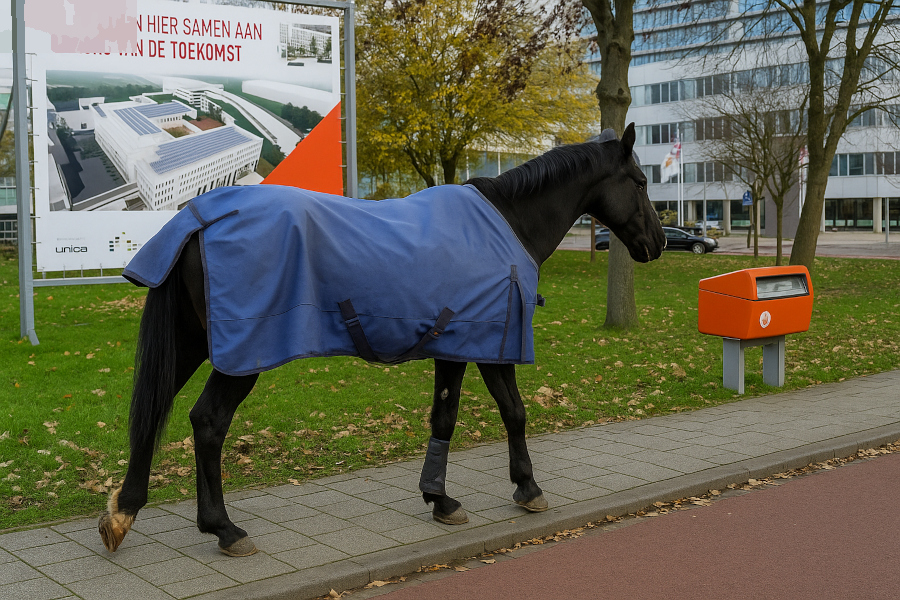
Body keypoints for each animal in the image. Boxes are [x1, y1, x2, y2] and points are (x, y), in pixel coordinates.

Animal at [98, 123, 666, 557]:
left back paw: (123, 513)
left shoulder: (453, 345)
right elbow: (514, 412)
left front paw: (439, 499)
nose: (658, 244)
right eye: (640, 180)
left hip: (192, 341)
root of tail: (200, 218)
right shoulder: (492, 343)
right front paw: (527, 488)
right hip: (243, 354)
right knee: (209, 422)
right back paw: (223, 529)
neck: (508, 223)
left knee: (153, 411)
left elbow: (444, 417)